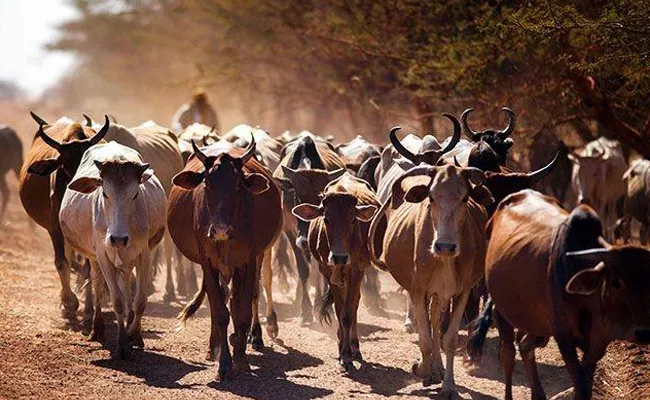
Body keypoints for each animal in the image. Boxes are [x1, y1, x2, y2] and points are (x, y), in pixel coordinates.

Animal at [20, 113, 109, 322]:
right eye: (65, 167)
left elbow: (87, 268)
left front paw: (88, 309)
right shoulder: (55, 228)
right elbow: (61, 263)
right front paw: (68, 303)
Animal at [58, 141, 166, 360]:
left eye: (135, 194)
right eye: (105, 193)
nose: (118, 239)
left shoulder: (144, 255)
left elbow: (139, 301)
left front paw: (134, 334)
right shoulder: (102, 255)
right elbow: (117, 301)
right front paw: (122, 344)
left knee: (125, 284)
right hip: (95, 258)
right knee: (98, 286)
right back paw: (97, 328)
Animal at [167, 138, 280, 382]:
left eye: (238, 184)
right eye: (207, 184)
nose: (220, 229)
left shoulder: (247, 261)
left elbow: (242, 310)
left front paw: (241, 358)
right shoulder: (208, 263)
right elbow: (220, 312)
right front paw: (225, 364)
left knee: (248, 296)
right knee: (216, 302)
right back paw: (213, 347)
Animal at [292, 173, 378, 374]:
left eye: (353, 220)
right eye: (326, 219)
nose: (339, 256)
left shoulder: (355, 269)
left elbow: (347, 313)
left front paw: (348, 354)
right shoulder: (326, 269)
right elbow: (340, 312)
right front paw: (342, 352)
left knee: (354, 304)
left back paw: (355, 347)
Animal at [368, 164, 488, 396]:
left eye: (465, 197)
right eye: (431, 197)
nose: (445, 246)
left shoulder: (462, 292)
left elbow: (448, 339)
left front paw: (448, 385)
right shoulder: (418, 290)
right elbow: (424, 340)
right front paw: (422, 368)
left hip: (440, 295)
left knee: (434, 323)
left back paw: (438, 368)